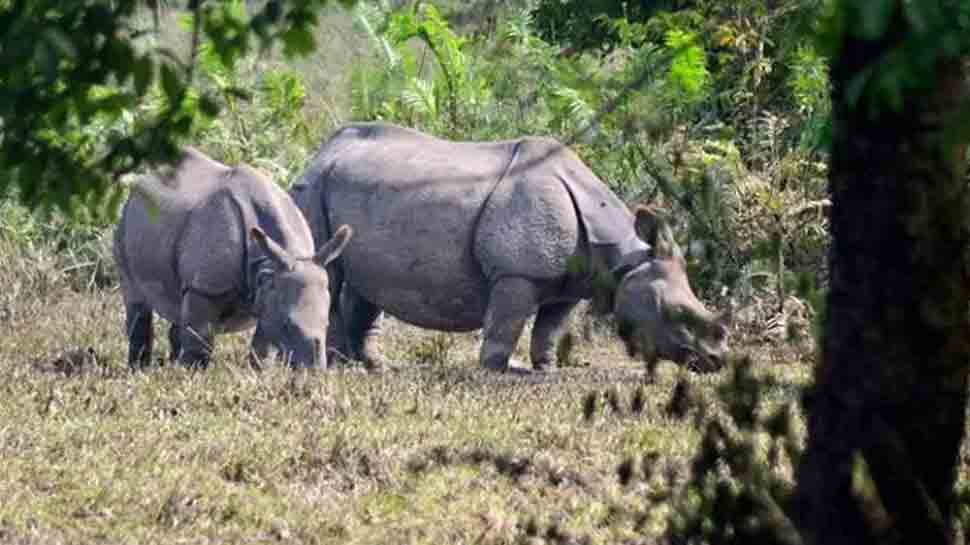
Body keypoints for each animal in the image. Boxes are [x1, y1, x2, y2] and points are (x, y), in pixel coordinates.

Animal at [114, 148, 352, 370]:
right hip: (125, 222)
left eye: (327, 324)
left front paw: (261, 373)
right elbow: (200, 338)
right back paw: (139, 370)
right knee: (137, 302)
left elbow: (263, 346)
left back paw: (169, 364)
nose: (313, 370)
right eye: (287, 325)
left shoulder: (269, 289)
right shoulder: (205, 287)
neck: (270, 265)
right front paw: (191, 373)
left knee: (178, 308)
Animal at [288, 121, 728, 372]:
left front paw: (547, 370)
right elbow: (507, 322)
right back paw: (336, 363)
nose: (716, 361)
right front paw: (500, 369)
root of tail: (322, 152)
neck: (622, 257)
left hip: (355, 185)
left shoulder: (572, 281)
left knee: (365, 282)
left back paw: (369, 364)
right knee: (328, 271)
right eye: (677, 313)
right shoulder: (516, 273)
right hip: (314, 186)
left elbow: (550, 327)